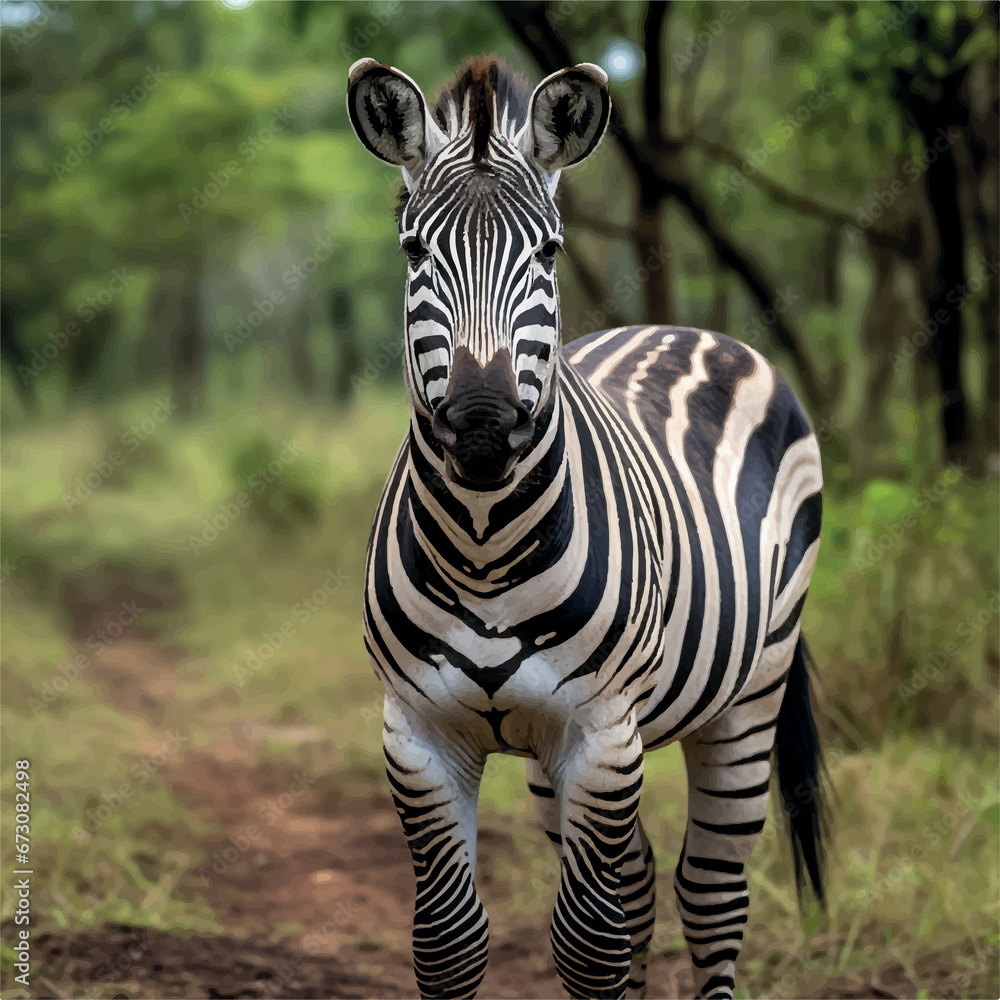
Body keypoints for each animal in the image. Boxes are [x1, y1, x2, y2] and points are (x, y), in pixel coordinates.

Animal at [346, 56, 827, 1000]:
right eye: (415, 251)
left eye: (548, 252)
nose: (483, 428)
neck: (484, 545)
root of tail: (675, 328)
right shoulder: (418, 735)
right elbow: (449, 943)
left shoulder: (602, 732)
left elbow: (587, 945)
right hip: (547, 754)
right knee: (635, 884)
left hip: (750, 693)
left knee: (708, 892)